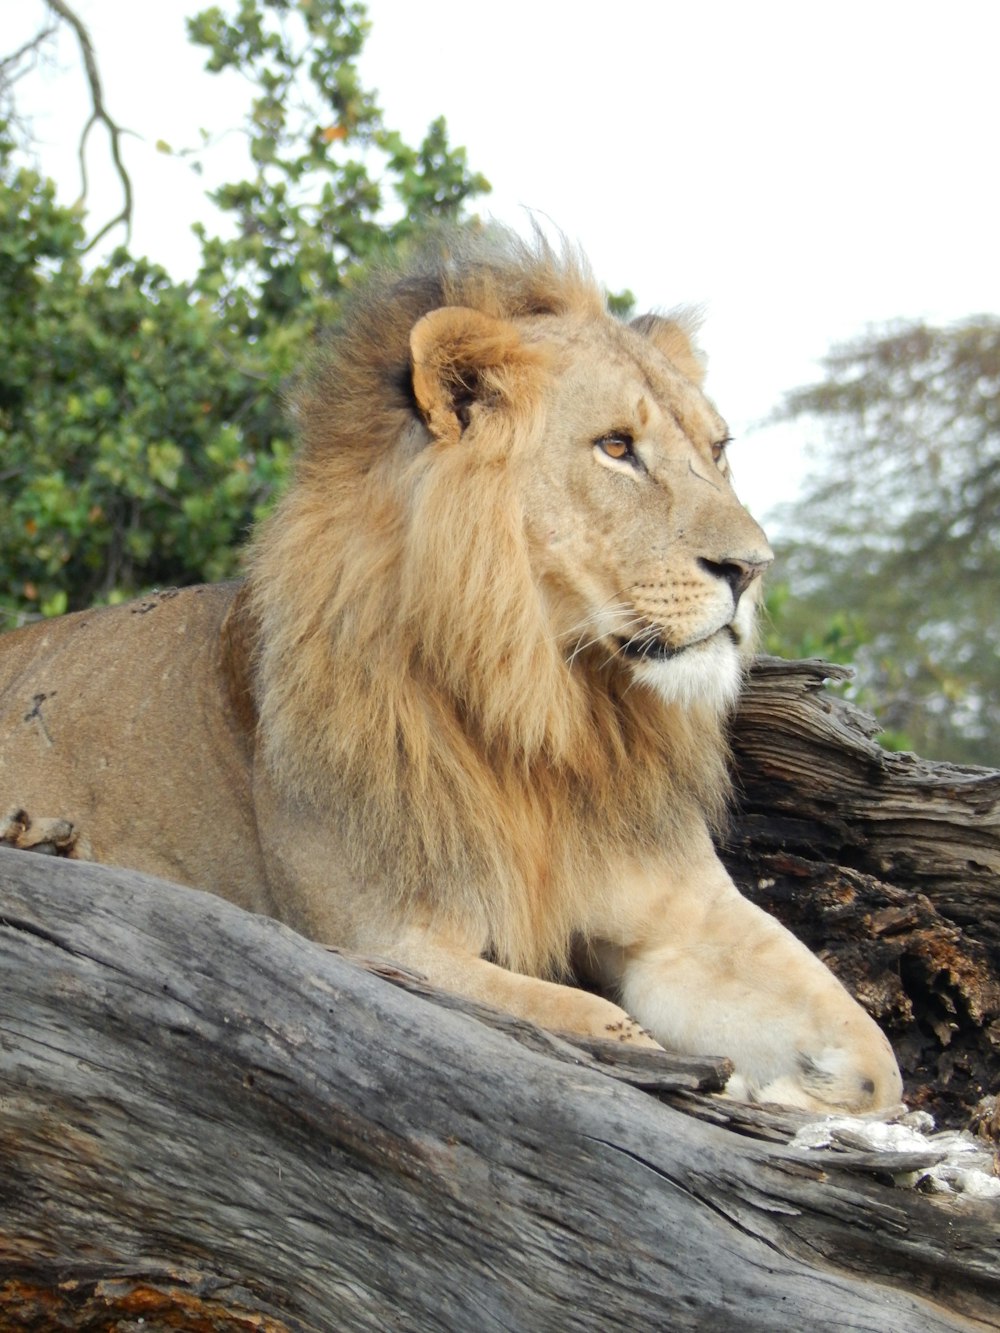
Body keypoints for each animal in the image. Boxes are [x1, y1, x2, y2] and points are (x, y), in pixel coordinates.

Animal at [0, 229, 906, 1114]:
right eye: (617, 447)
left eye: (717, 452)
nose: (752, 568)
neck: (553, 710)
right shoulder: (377, 942)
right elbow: (607, 1027)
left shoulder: (682, 916)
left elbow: (874, 1056)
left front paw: (799, 1090)